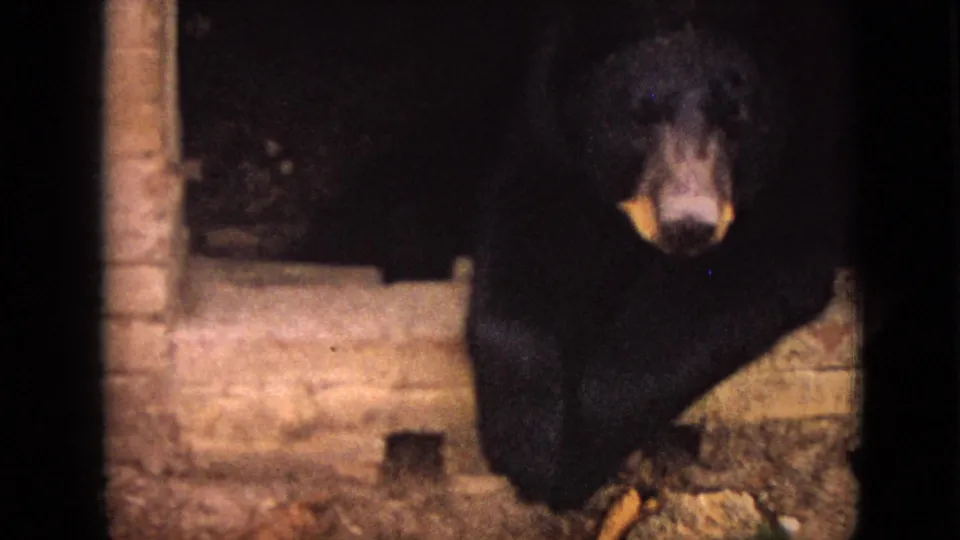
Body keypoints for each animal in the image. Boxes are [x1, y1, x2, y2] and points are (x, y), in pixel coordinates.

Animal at [465, 0, 852, 511]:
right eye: (640, 113)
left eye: (737, 116)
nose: (687, 223)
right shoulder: (546, 119)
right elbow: (531, 221)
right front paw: (527, 443)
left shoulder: (805, 156)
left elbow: (749, 274)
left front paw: (574, 461)